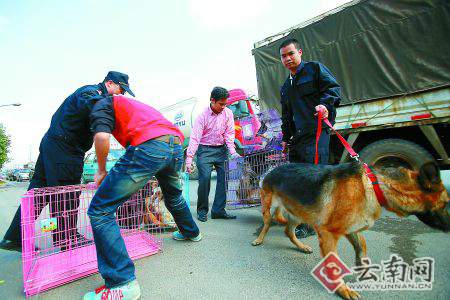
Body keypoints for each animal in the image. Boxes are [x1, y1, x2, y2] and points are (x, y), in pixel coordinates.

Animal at [253, 162, 450, 300]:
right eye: (446, 203)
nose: (449, 227)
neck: (374, 186)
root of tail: (272, 169)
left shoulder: (351, 228)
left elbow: (361, 247)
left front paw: (363, 269)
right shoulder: (328, 234)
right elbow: (334, 265)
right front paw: (342, 290)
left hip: (299, 213)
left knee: (288, 230)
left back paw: (301, 246)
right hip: (269, 208)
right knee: (268, 223)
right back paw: (259, 239)